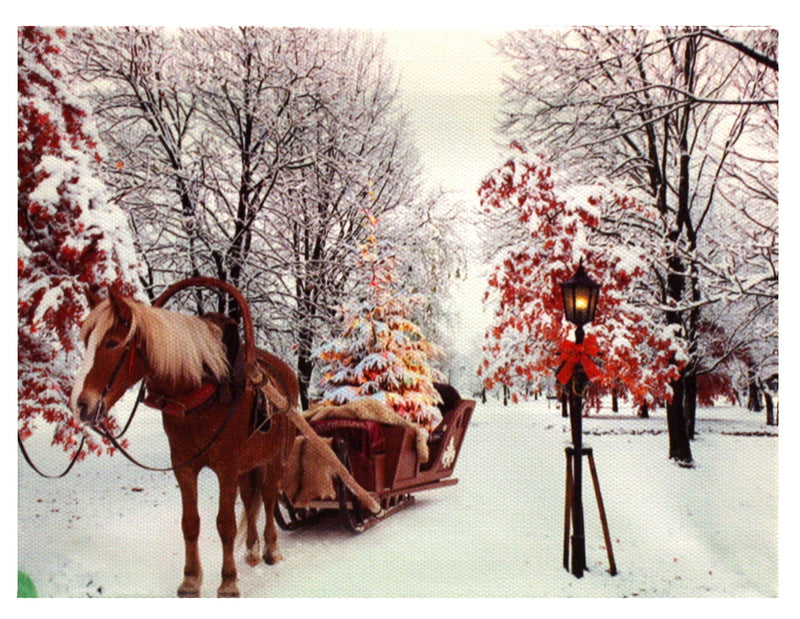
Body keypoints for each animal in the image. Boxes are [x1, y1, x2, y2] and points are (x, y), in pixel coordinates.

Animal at [70, 288, 296, 600]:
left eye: (112, 342)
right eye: (86, 341)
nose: (81, 405)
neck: (202, 391)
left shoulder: (226, 468)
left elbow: (225, 524)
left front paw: (228, 582)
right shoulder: (185, 467)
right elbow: (190, 523)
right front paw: (190, 580)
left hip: (275, 459)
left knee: (270, 495)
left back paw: (271, 549)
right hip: (247, 467)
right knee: (251, 500)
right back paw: (251, 550)